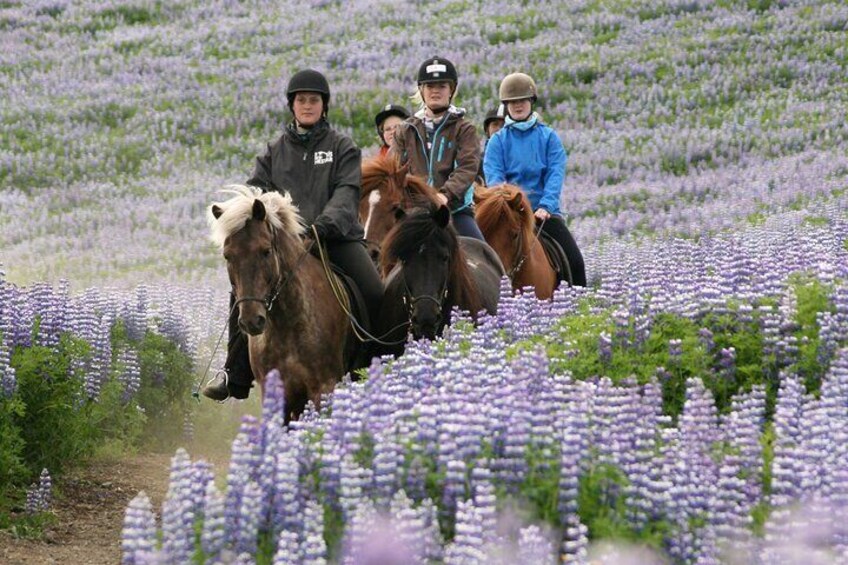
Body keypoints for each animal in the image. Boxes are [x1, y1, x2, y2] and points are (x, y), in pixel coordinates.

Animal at [210, 184, 362, 418]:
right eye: (228, 256)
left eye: (266, 251)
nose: (252, 321)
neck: (286, 324)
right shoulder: (278, 391)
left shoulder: (323, 387)